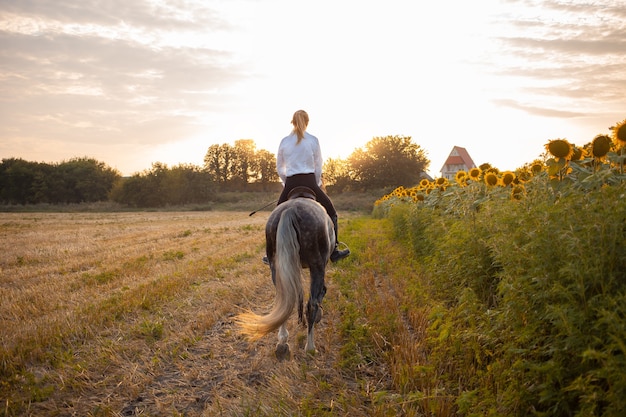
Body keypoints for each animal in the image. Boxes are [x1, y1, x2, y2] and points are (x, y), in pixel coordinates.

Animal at [234, 186, 334, 358]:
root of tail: (290, 210)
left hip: (276, 267)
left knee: (284, 300)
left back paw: (282, 343)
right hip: (317, 266)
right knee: (311, 305)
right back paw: (310, 347)